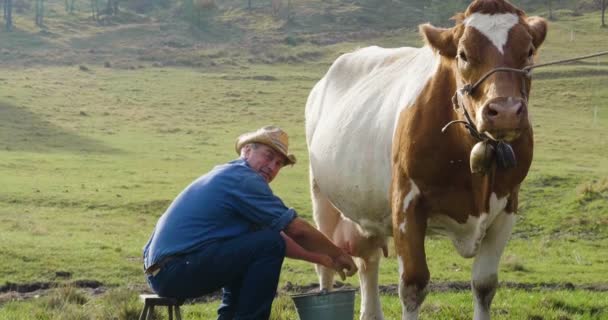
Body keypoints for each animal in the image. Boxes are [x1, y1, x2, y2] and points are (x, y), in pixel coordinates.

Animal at [306, 0, 548, 320]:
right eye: (463, 54)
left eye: (529, 51)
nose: (505, 111)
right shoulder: (406, 204)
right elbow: (413, 285)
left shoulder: (508, 206)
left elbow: (484, 284)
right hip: (322, 200)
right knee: (325, 266)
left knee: (368, 263)